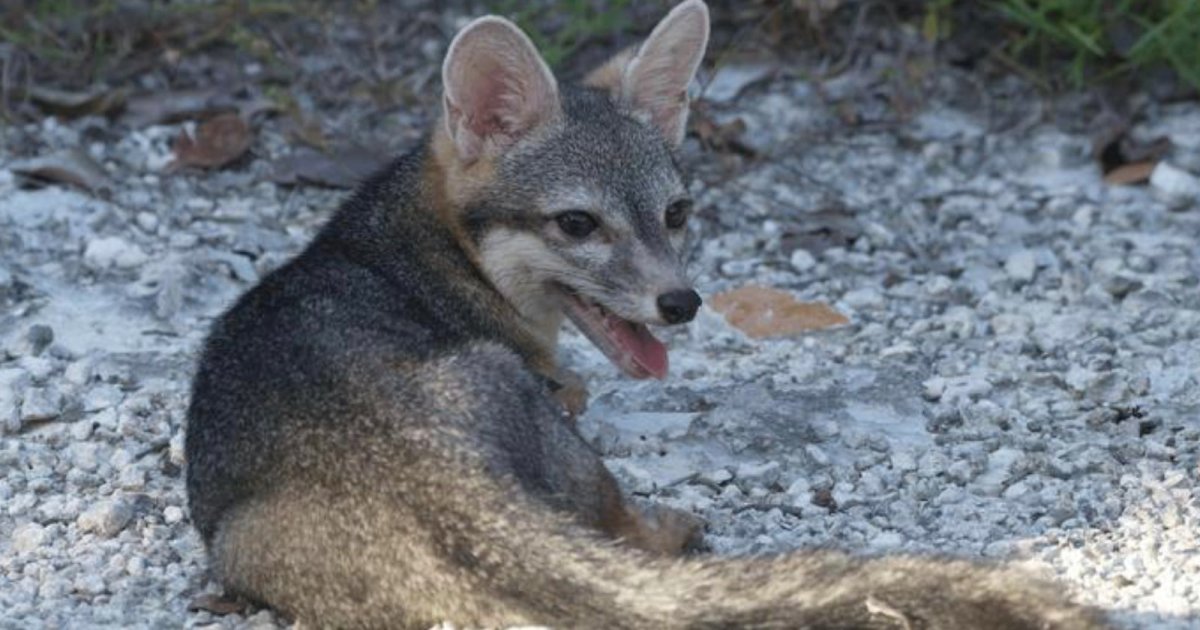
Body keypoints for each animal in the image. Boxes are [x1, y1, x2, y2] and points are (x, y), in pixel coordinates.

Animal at [184, 1, 1110, 628]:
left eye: (676, 213)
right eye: (577, 225)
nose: (682, 302)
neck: (416, 248)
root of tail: (421, 467)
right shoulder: (559, 389)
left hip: (244, 540)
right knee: (621, 525)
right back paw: (672, 525)